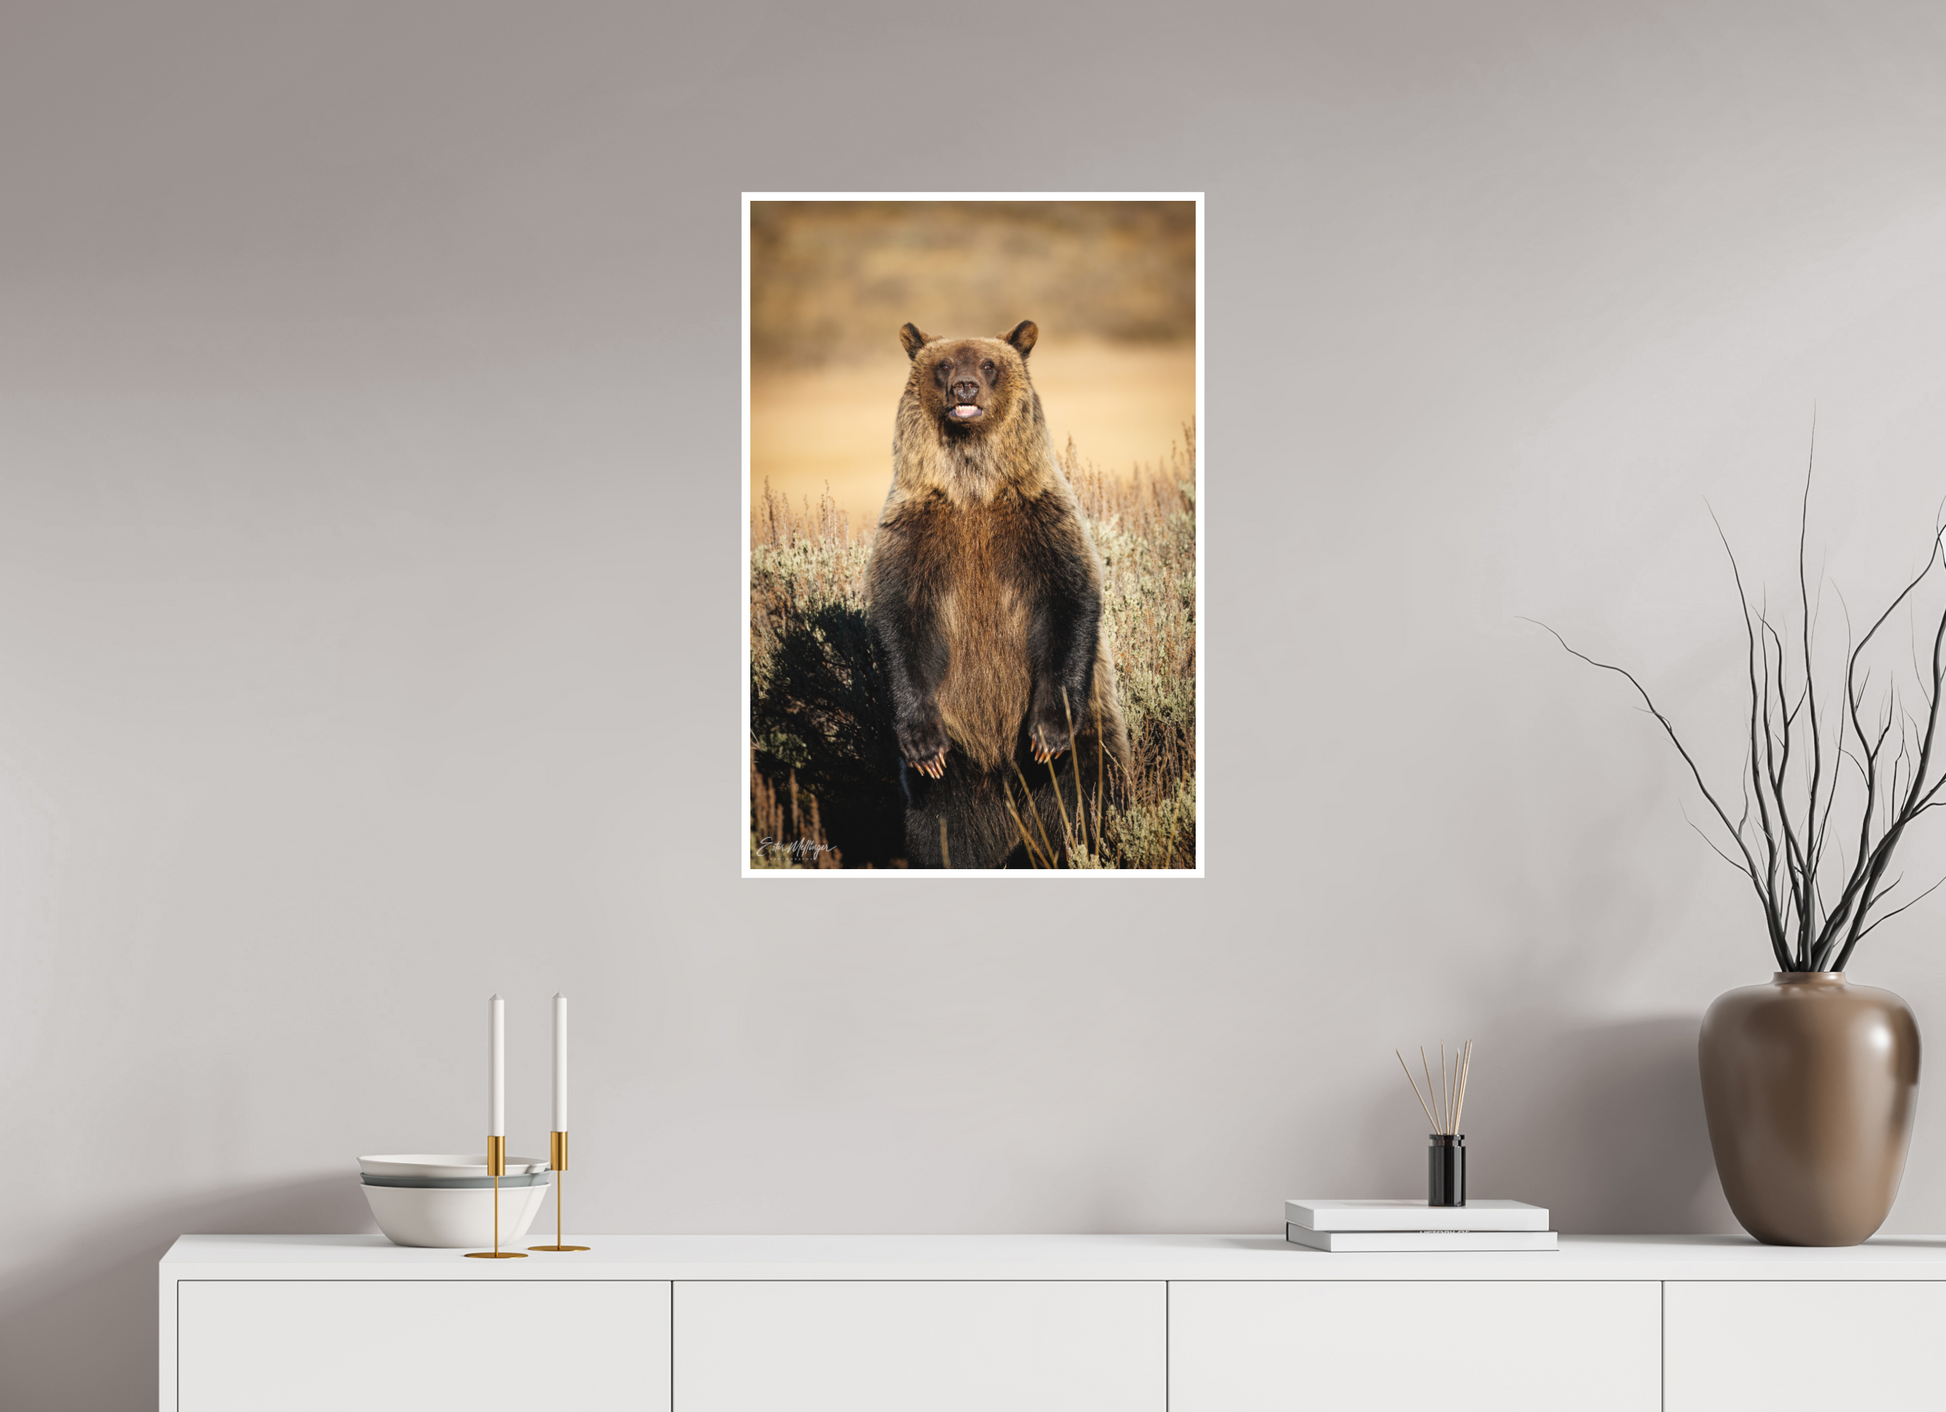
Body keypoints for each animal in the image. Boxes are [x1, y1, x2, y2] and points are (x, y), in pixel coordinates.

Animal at [865, 319, 1132, 868]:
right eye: (944, 364)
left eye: (989, 364)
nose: (964, 388)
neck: (974, 486)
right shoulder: (915, 531)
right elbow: (898, 619)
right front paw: (922, 745)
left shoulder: (1040, 519)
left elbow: (1072, 598)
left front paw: (1048, 733)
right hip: (958, 768)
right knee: (943, 829)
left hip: (1089, 740)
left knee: (1084, 801)